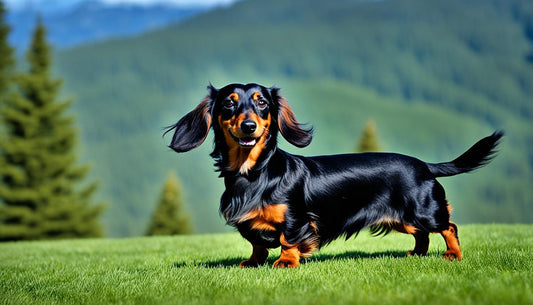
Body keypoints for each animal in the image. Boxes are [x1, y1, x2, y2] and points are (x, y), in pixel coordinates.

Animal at [166, 82, 502, 266]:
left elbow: (287, 240)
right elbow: (257, 243)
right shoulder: (250, 223)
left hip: (424, 211)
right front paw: (251, 263)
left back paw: (453, 255)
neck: (255, 174)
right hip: (403, 218)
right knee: (422, 234)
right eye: (228, 104)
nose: (249, 126)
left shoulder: (296, 219)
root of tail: (423, 165)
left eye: (262, 103)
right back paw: (416, 255)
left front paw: (286, 263)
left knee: (448, 227)